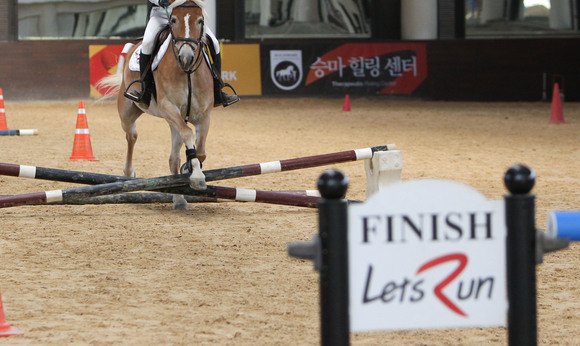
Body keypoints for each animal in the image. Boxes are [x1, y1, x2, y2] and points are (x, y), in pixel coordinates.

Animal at [97, 0, 213, 209]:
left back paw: (179, 199)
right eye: (173, 20)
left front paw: (189, 168)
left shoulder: (204, 115)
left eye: (200, 20)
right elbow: (188, 134)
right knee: (132, 136)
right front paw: (196, 175)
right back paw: (129, 173)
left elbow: (200, 152)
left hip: (173, 121)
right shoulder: (169, 107)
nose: (186, 58)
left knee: (173, 157)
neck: (187, 73)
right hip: (128, 113)